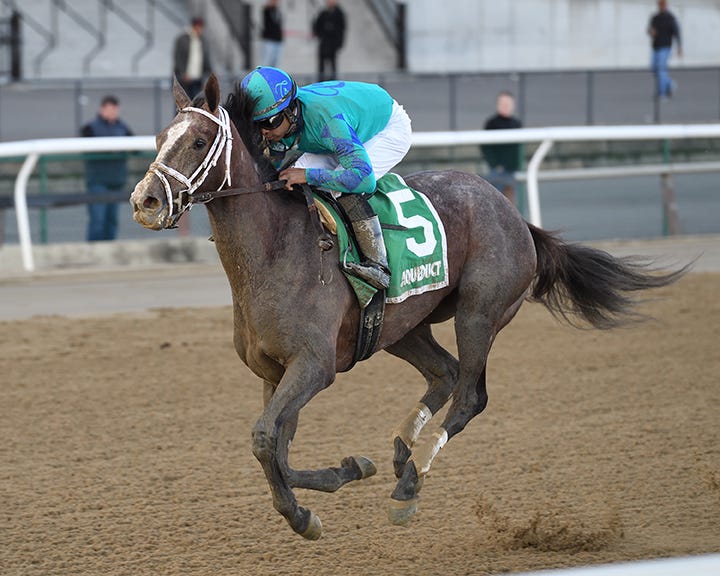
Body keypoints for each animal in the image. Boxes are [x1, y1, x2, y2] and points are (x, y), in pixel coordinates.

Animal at [130, 74, 685, 540]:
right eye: (159, 139)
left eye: (198, 142)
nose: (145, 201)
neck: (275, 251)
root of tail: (513, 213)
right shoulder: (274, 371)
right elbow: (275, 446)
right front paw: (348, 471)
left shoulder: (314, 366)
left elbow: (266, 438)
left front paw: (303, 514)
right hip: (401, 327)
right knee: (444, 372)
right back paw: (400, 455)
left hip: (479, 313)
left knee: (470, 394)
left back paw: (411, 480)